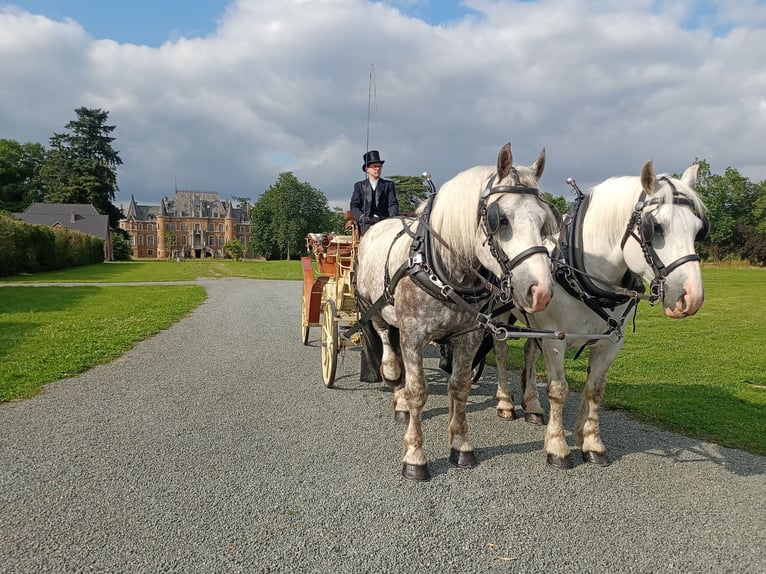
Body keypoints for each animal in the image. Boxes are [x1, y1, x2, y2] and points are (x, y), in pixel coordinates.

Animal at [356, 143, 560, 482]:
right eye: (500, 219)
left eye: (544, 219)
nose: (541, 291)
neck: (441, 269)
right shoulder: (413, 335)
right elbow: (418, 391)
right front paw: (415, 455)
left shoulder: (470, 336)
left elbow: (460, 387)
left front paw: (461, 445)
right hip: (375, 311)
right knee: (390, 354)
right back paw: (397, 396)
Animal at [496, 160, 712, 470]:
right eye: (655, 227)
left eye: (698, 230)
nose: (691, 298)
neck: (581, 273)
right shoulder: (555, 338)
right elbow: (558, 390)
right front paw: (558, 447)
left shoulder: (611, 341)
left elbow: (595, 390)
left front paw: (590, 441)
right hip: (503, 318)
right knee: (501, 353)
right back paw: (504, 402)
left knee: (530, 353)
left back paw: (533, 406)